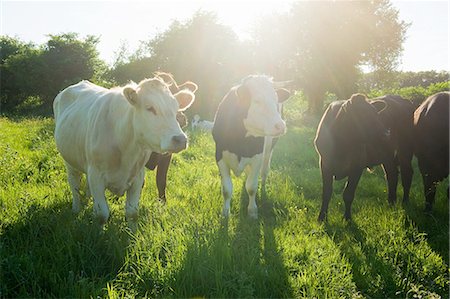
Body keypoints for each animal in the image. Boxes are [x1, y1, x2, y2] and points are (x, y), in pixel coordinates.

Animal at [53, 77, 194, 227]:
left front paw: (132, 232)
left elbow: (132, 213)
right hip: (69, 162)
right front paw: (98, 231)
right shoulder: (96, 175)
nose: (180, 139)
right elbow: (102, 214)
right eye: (150, 108)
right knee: (74, 184)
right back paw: (76, 208)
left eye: (176, 109)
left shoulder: (137, 177)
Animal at [212, 74, 290, 220]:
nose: (281, 125)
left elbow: (252, 187)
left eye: (276, 100)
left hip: (268, 151)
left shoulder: (257, 157)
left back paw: (263, 190)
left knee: (264, 173)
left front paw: (252, 211)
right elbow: (226, 189)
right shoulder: (219, 156)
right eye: (257, 101)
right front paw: (225, 213)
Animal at [312, 94, 414, 223]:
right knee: (392, 175)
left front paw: (347, 218)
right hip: (387, 156)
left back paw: (405, 202)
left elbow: (348, 194)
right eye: (362, 115)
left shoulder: (357, 166)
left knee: (407, 174)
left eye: (376, 114)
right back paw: (391, 202)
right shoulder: (325, 164)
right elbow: (326, 193)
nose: (386, 134)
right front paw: (322, 218)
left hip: (405, 149)